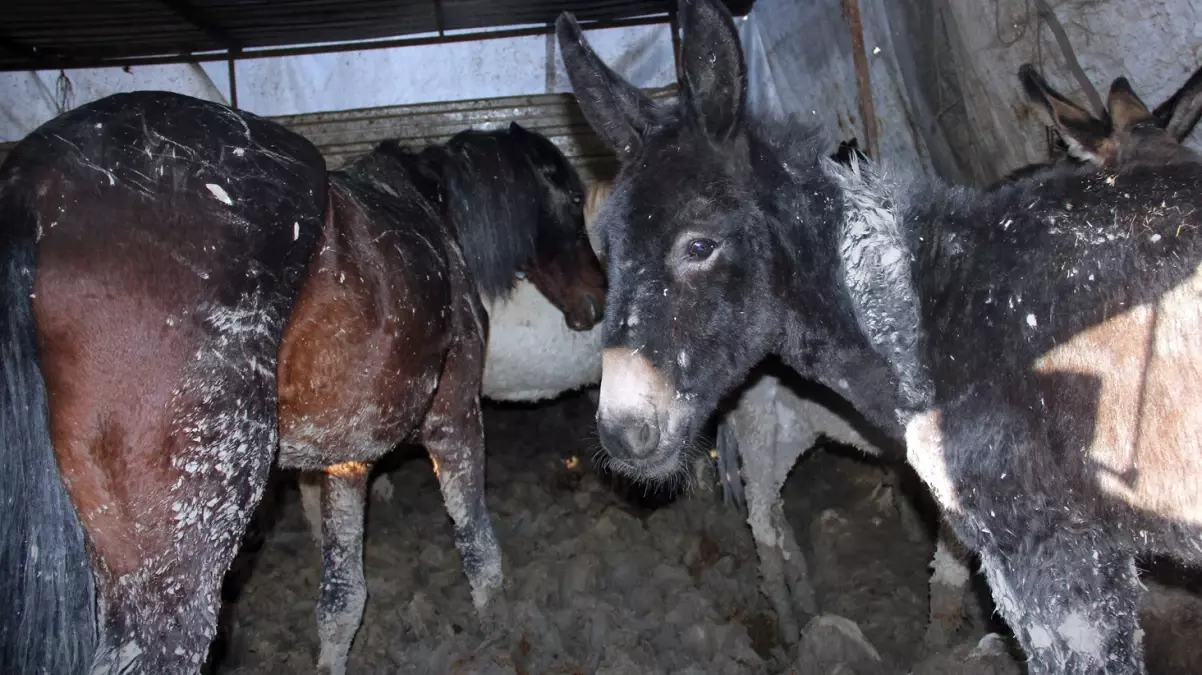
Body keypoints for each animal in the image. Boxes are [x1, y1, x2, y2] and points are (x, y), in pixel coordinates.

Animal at [0, 93, 601, 672]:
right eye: (573, 201)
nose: (594, 303)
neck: (428, 214)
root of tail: (37, 185)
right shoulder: (454, 419)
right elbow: (478, 547)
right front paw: (496, 631)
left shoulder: (346, 460)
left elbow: (342, 597)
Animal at [557, 2, 1202, 667]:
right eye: (602, 247)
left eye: (700, 246)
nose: (622, 431)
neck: (939, 301)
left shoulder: (1056, 552)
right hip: (768, 434)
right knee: (765, 520)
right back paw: (795, 621)